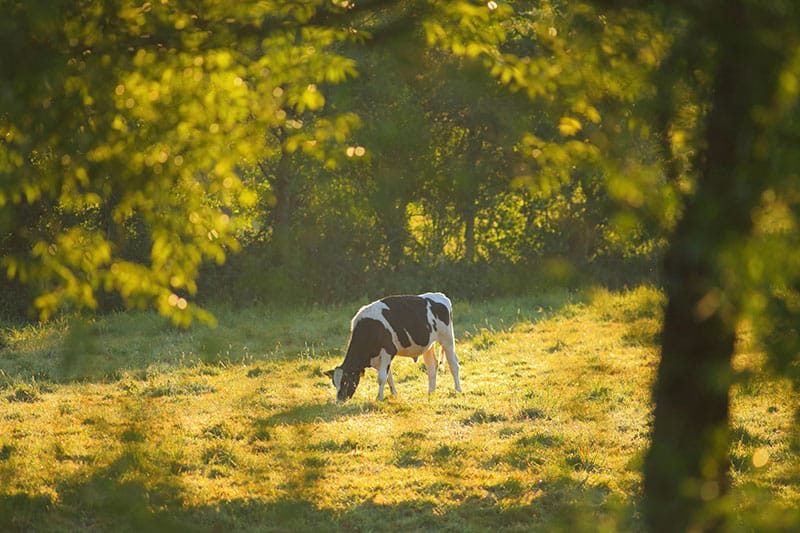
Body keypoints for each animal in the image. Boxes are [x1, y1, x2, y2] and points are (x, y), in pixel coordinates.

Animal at [325, 292, 462, 402]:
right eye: (334, 383)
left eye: (346, 381)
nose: (339, 401)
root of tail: (440, 296)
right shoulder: (378, 359)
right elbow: (388, 376)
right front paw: (394, 394)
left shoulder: (388, 351)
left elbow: (381, 378)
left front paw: (379, 398)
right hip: (428, 345)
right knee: (432, 366)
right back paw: (431, 392)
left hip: (447, 340)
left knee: (454, 365)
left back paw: (458, 390)